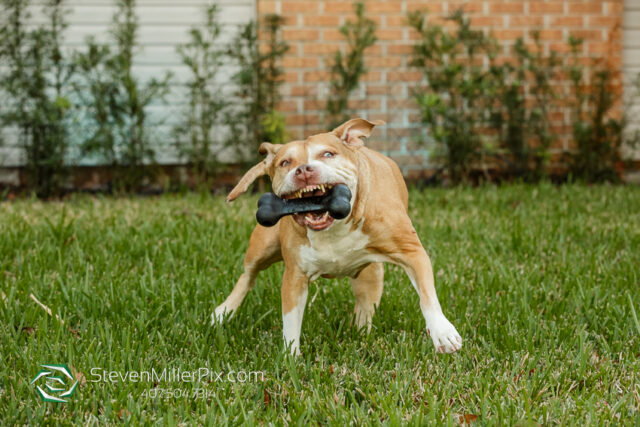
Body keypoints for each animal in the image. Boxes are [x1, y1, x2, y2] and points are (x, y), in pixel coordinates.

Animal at [212, 118, 462, 356]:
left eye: (328, 154)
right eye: (285, 163)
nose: (303, 170)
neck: (335, 225)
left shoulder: (411, 252)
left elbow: (427, 297)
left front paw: (442, 332)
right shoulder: (295, 275)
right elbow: (291, 320)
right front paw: (290, 358)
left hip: (371, 277)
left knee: (365, 305)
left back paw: (360, 333)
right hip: (262, 247)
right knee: (248, 276)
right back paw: (224, 312)